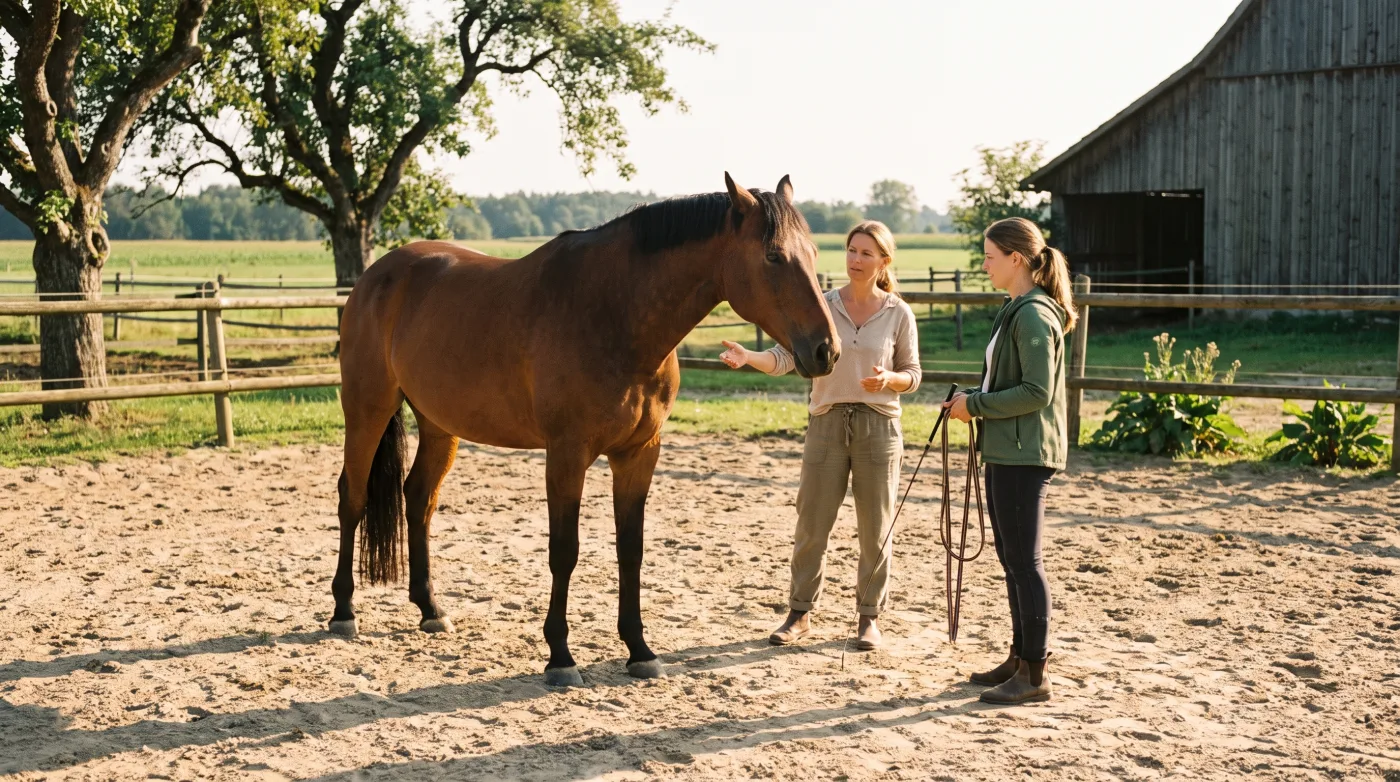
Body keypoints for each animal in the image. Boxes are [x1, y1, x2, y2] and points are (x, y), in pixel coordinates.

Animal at [331, 173, 840, 686]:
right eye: (773, 256)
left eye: (815, 253)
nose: (827, 350)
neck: (616, 313)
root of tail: (376, 276)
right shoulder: (567, 454)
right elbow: (565, 551)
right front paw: (560, 656)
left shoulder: (639, 453)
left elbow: (631, 550)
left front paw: (639, 650)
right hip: (367, 409)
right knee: (352, 497)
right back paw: (343, 611)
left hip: (439, 425)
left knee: (418, 498)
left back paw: (430, 609)